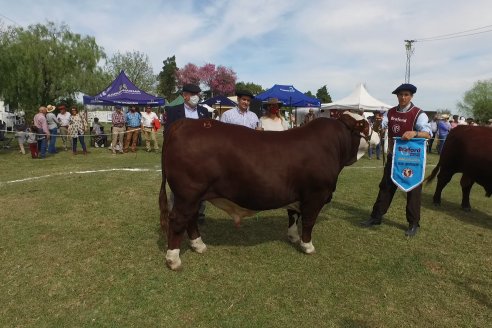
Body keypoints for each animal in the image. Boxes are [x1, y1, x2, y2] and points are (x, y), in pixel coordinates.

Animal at [159, 112, 372, 270]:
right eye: (366, 124)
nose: (377, 133)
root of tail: (186, 123)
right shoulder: (315, 194)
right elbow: (309, 221)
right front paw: (307, 246)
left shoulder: (296, 194)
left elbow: (293, 215)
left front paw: (293, 237)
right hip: (188, 193)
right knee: (178, 219)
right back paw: (173, 260)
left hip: (193, 196)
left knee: (191, 218)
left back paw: (199, 245)